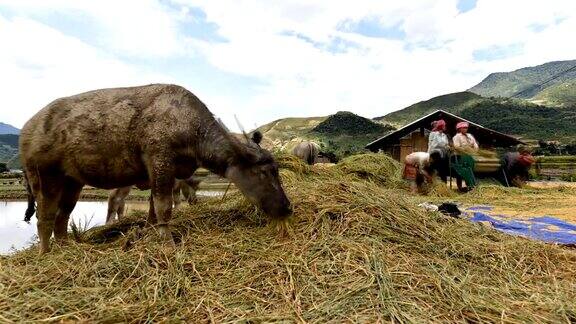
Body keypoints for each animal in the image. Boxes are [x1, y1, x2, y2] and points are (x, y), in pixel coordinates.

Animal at [20, 83, 292, 253]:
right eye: (266, 172)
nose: (287, 207)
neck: (191, 130)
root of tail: (27, 128)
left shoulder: (163, 173)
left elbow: (153, 208)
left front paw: (150, 232)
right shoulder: (160, 161)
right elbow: (164, 206)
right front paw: (168, 243)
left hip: (73, 181)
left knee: (63, 215)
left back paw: (68, 247)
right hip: (44, 176)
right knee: (45, 216)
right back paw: (46, 254)